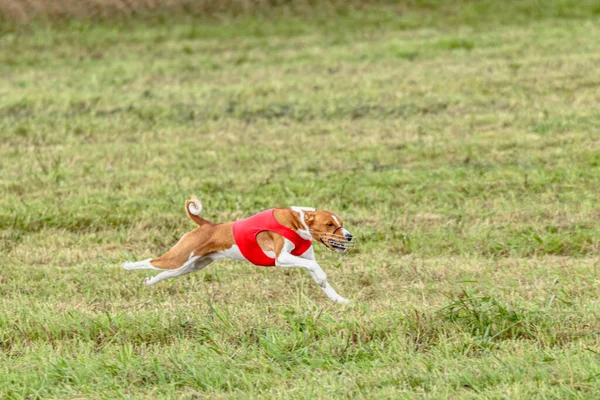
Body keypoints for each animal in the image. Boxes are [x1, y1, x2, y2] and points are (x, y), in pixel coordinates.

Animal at [123, 195, 356, 304]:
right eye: (329, 224)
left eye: (341, 223)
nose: (349, 236)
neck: (295, 222)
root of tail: (207, 225)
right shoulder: (281, 258)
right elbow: (315, 267)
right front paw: (323, 278)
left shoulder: (303, 257)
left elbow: (319, 276)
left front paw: (339, 300)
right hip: (180, 257)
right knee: (151, 261)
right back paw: (127, 265)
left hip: (192, 265)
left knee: (164, 273)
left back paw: (149, 282)